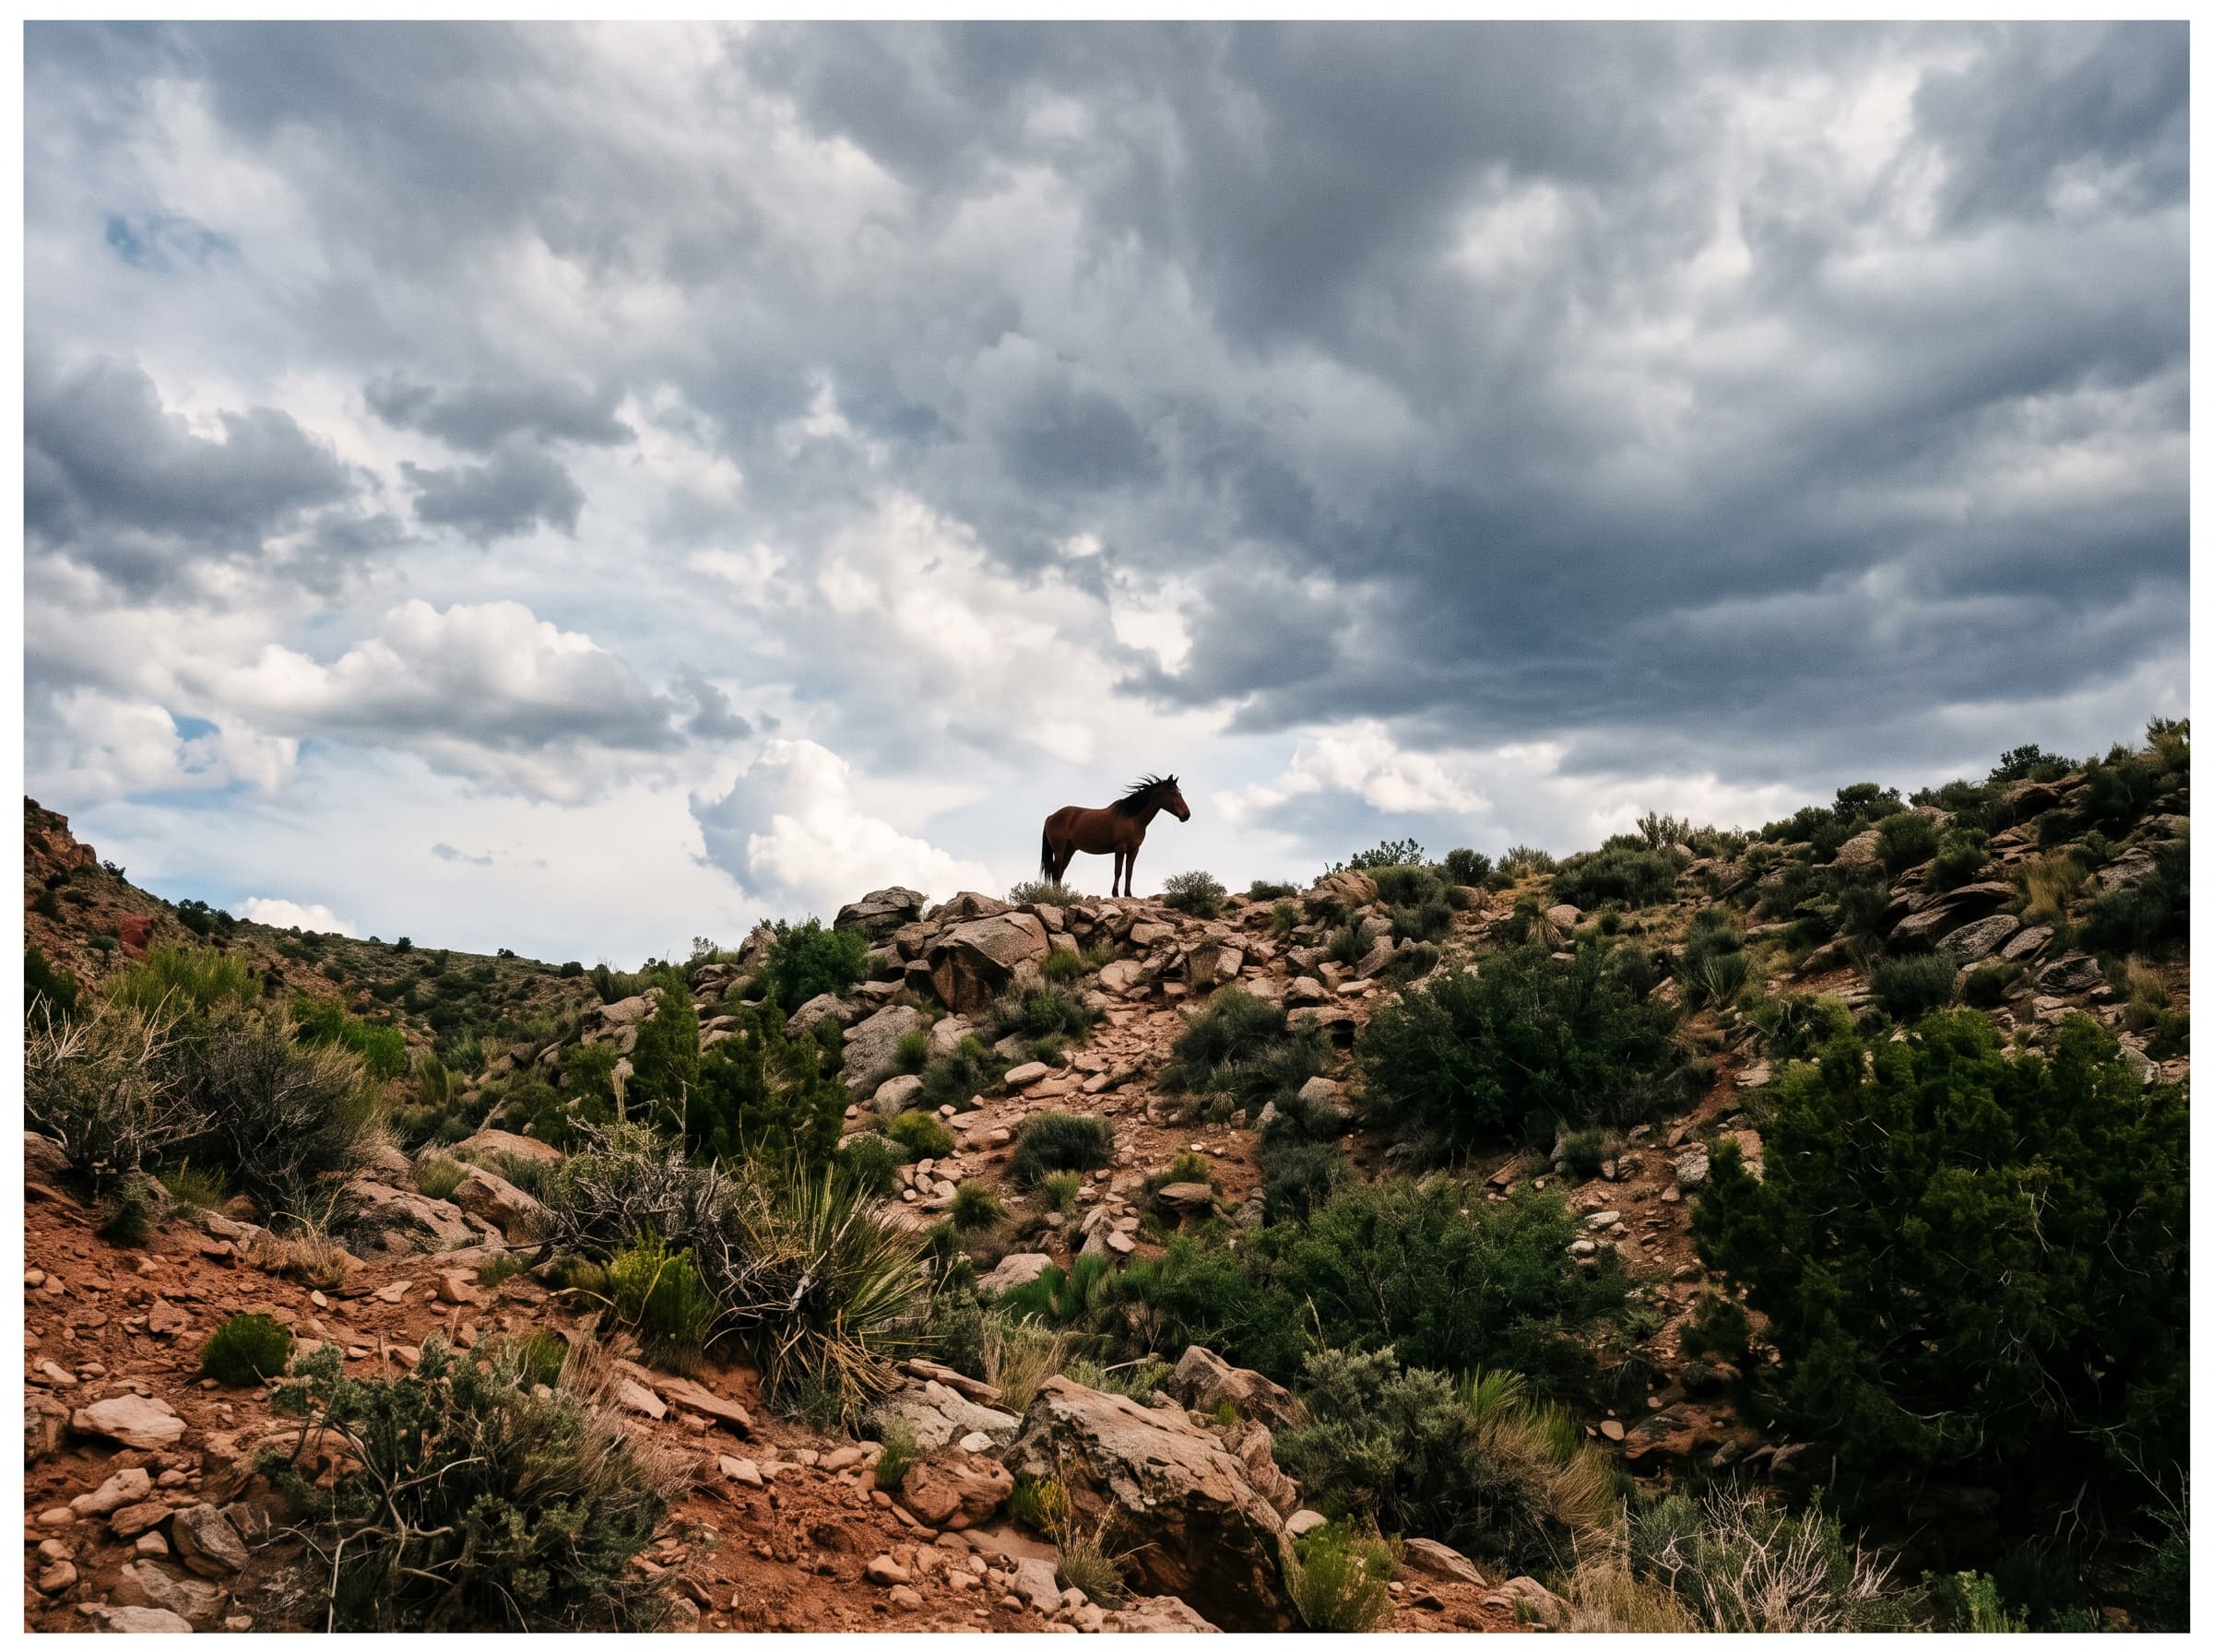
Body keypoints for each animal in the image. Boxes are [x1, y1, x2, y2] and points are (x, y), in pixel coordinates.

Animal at [1041, 774, 1191, 898]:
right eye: (1172, 792)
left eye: (1179, 792)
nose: (1187, 815)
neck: (1132, 818)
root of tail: (1051, 817)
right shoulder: (1120, 848)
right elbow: (1118, 871)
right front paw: (1115, 894)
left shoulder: (1134, 850)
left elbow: (1129, 872)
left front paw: (1128, 894)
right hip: (1059, 850)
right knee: (1055, 871)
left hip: (1070, 850)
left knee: (1059, 872)